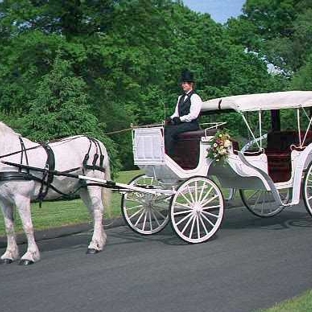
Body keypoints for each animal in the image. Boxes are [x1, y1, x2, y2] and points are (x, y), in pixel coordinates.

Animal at [0, 121, 111, 264]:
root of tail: (95, 141)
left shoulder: (21, 198)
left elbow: (27, 226)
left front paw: (30, 255)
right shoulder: (4, 200)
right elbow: (9, 227)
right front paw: (9, 254)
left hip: (94, 182)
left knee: (98, 210)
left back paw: (94, 244)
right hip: (84, 188)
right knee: (93, 210)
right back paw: (100, 241)